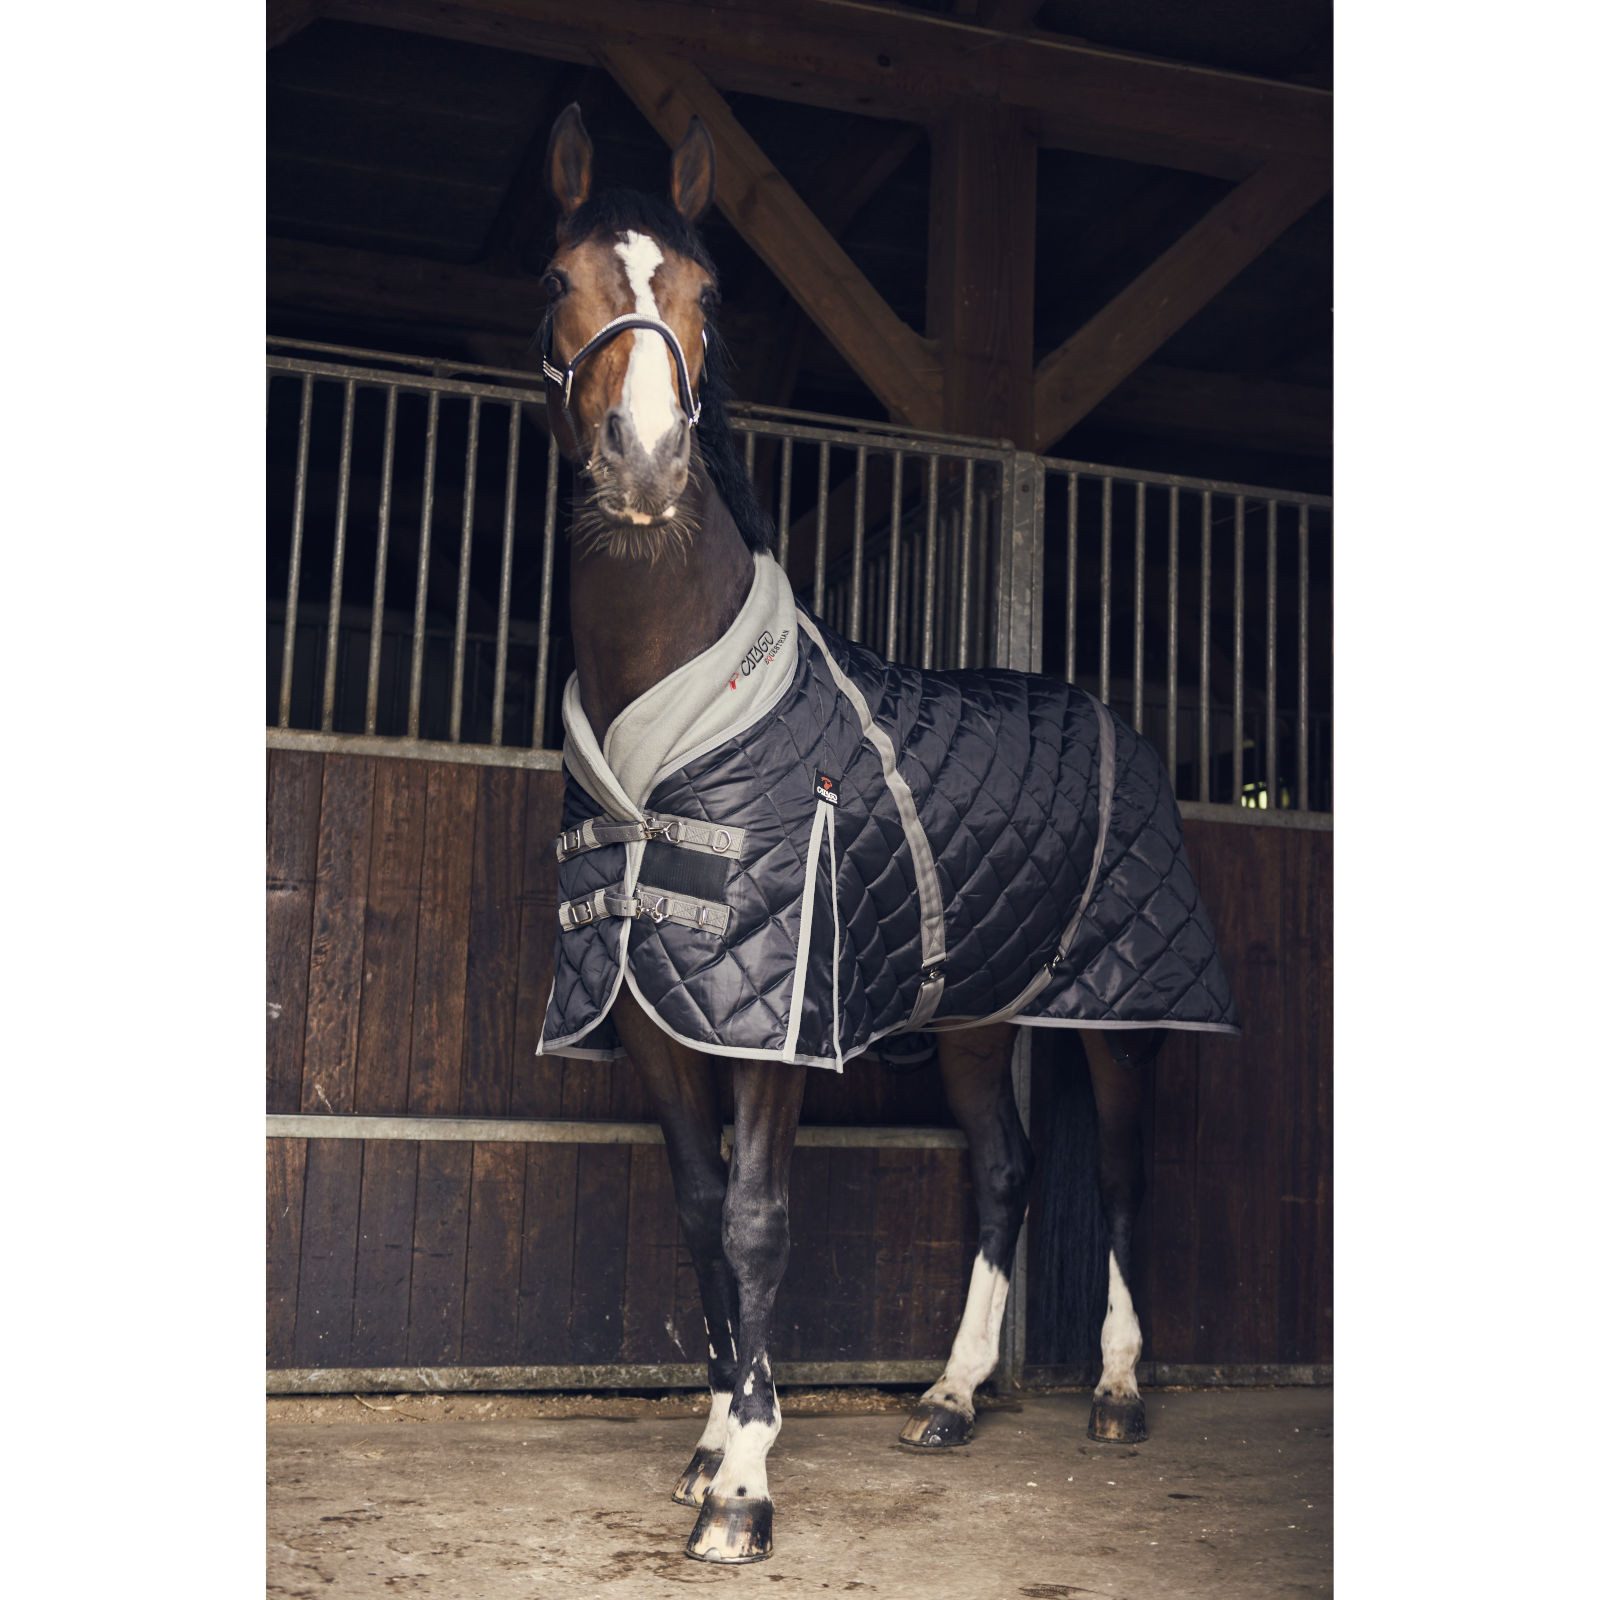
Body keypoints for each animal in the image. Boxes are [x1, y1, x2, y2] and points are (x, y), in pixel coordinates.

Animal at [531, 104, 1238, 1564]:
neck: (684, 710)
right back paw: (953, 1398)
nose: (645, 463)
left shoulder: (782, 1019)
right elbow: (700, 1213)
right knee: (1007, 1170)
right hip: (972, 1016)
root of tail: (1110, 711)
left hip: (1125, 1012)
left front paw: (745, 1486)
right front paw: (705, 1447)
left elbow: (756, 1219)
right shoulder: (658, 1013)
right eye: (558, 277)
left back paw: (1118, 1394)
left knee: (1123, 1175)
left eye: (708, 293)